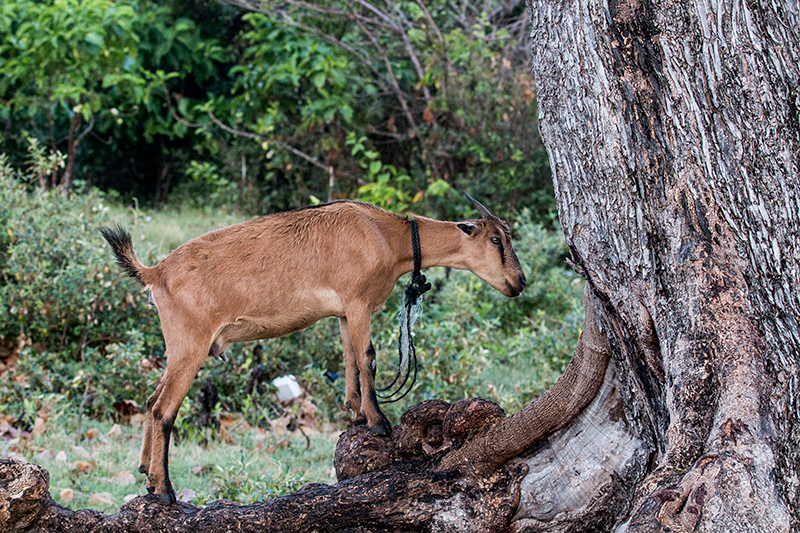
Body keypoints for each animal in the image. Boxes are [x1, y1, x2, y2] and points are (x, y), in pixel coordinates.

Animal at [98, 195, 524, 502]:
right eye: (496, 239)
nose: (519, 282)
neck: (387, 235)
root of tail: (155, 272)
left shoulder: (345, 312)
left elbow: (351, 359)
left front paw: (357, 413)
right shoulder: (357, 302)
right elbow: (368, 358)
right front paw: (379, 422)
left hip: (177, 348)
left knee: (150, 400)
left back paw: (145, 475)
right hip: (190, 345)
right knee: (164, 410)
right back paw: (165, 491)